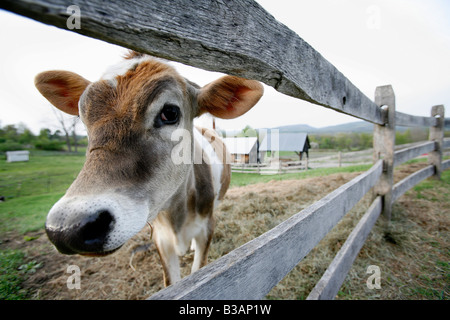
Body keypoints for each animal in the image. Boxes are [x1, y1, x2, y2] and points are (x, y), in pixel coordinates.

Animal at [35, 51, 264, 286]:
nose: (67, 227)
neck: (177, 216)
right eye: (83, 118)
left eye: (170, 112)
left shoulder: (206, 229)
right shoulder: (161, 239)